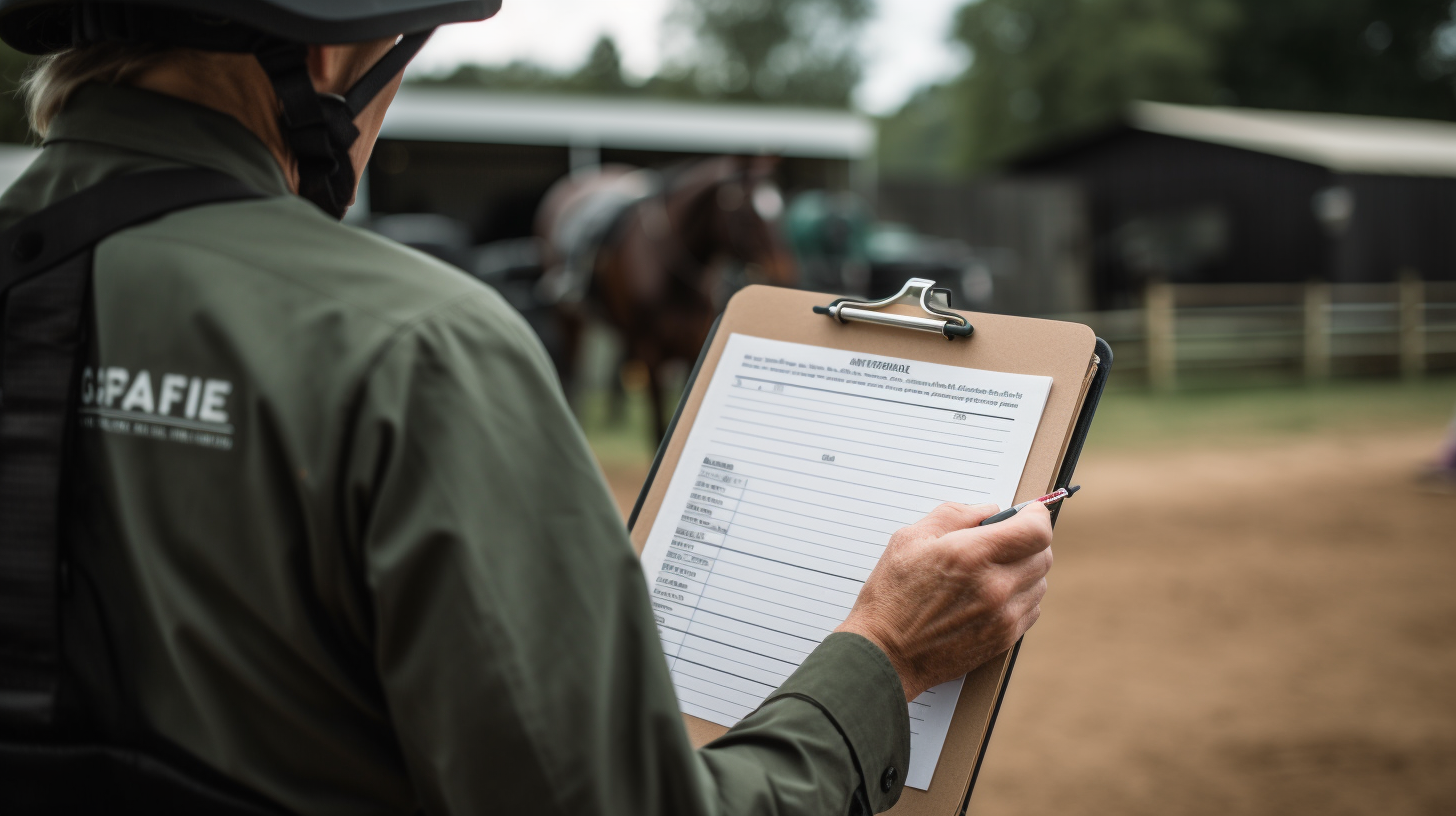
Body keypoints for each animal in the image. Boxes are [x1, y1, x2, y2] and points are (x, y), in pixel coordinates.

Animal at [541, 155, 803, 442]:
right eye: (747, 214)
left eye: (780, 207)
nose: (787, 275)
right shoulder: (651, 352)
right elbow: (658, 426)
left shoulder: (694, 344)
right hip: (568, 318)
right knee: (570, 372)